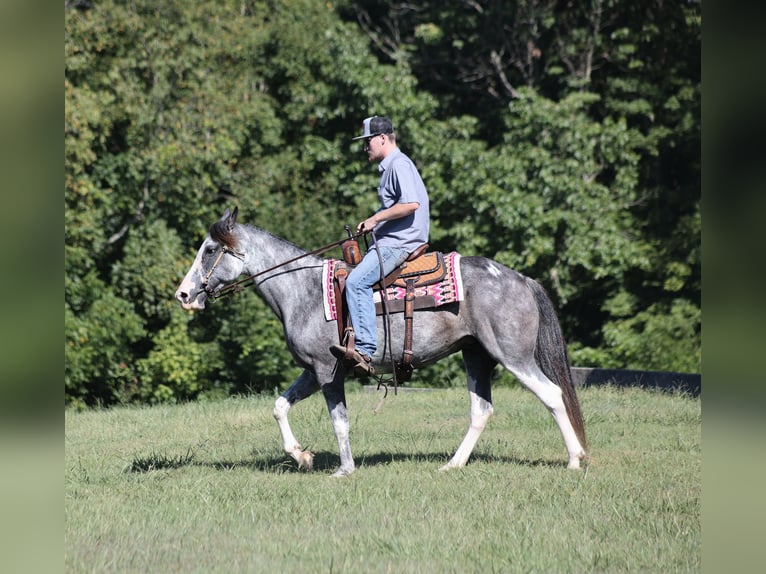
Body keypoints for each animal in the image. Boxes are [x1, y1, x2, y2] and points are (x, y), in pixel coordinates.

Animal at [175, 207, 587, 476]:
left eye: (209, 250)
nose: (183, 294)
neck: (302, 290)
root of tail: (521, 279)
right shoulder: (312, 370)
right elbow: (279, 406)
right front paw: (302, 456)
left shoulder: (328, 370)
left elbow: (339, 421)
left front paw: (344, 469)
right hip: (476, 356)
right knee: (481, 411)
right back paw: (453, 464)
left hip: (513, 355)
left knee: (552, 395)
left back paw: (574, 460)